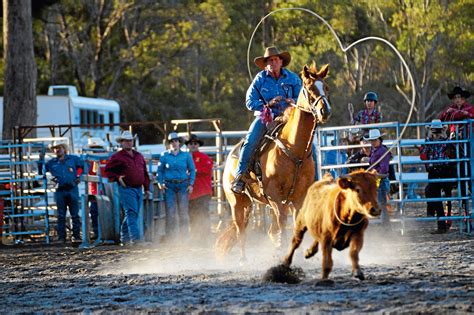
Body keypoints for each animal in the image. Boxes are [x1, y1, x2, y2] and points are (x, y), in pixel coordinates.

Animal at [216, 61, 332, 262]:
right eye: (309, 88)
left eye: (325, 87)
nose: (324, 111)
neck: (294, 150)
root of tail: (230, 156)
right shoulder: (276, 197)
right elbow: (283, 226)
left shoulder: (299, 198)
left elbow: (296, 225)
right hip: (238, 203)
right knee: (241, 231)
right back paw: (243, 260)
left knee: (270, 230)